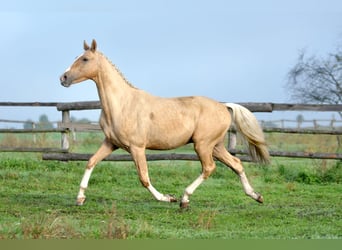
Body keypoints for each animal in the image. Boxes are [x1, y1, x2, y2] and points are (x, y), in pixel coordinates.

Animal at [60, 40, 270, 208]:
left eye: (85, 59)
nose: (63, 78)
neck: (122, 104)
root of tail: (224, 106)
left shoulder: (137, 147)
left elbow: (144, 178)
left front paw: (168, 198)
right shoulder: (111, 143)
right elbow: (91, 162)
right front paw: (80, 198)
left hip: (203, 145)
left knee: (209, 168)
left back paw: (184, 199)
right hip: (215, 146)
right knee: (236, 164)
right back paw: (256, 196)